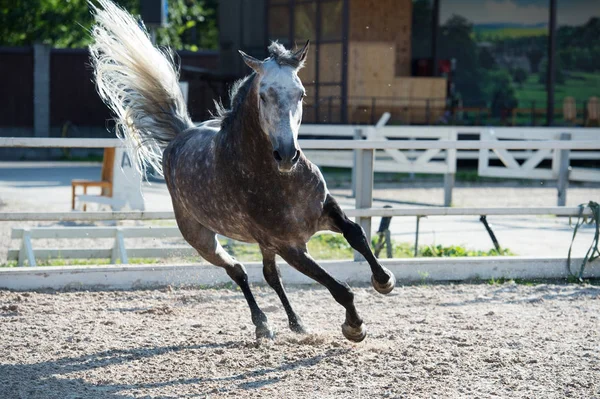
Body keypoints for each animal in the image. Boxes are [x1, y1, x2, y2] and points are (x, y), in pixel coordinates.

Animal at [89, 0, 396, 344]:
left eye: (301, 94)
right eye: (264, 95)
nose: (287, 154)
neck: (281, 181)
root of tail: (181, 135)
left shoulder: (324, 210)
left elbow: (356, 233)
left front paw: (384, 280)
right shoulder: (289, 246)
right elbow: (338, 288)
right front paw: (354, 326)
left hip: (261, 244)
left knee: (270, 276)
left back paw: (296, 323)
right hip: (201, 239)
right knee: (238, 271)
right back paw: (262, 324)